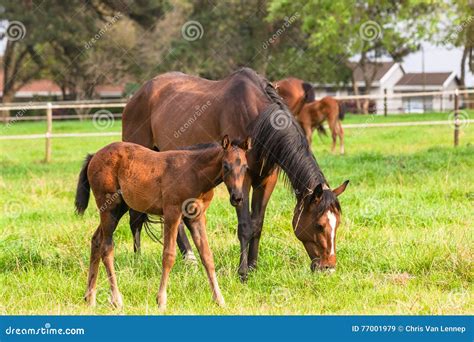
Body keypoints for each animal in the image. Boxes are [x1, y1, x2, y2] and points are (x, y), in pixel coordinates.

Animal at [74, 136, 252, 310]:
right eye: (225, 166)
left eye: (245, 167)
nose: (237, 197)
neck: (194, 173)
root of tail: (94, 156)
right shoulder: (172, 213)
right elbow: (169, 255)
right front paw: (161, 301)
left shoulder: (197, 217)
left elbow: (207, 256)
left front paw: (219, 300)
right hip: (110, 208)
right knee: (106, 248)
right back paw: (116, 300)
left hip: (119, 209)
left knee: (96, 240)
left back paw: (90, 298)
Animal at [120, 67, 346, 280]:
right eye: (319, 225)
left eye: (338, 224)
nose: (329, 268)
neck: (257, 119)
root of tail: (137, 95)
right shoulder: (241, 180)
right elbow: (245, 225)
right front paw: (243, 273)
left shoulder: (266, 180)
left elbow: (257, 224)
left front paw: (254, 267)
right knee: (136, 216)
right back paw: (139, 259)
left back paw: (190, 260)